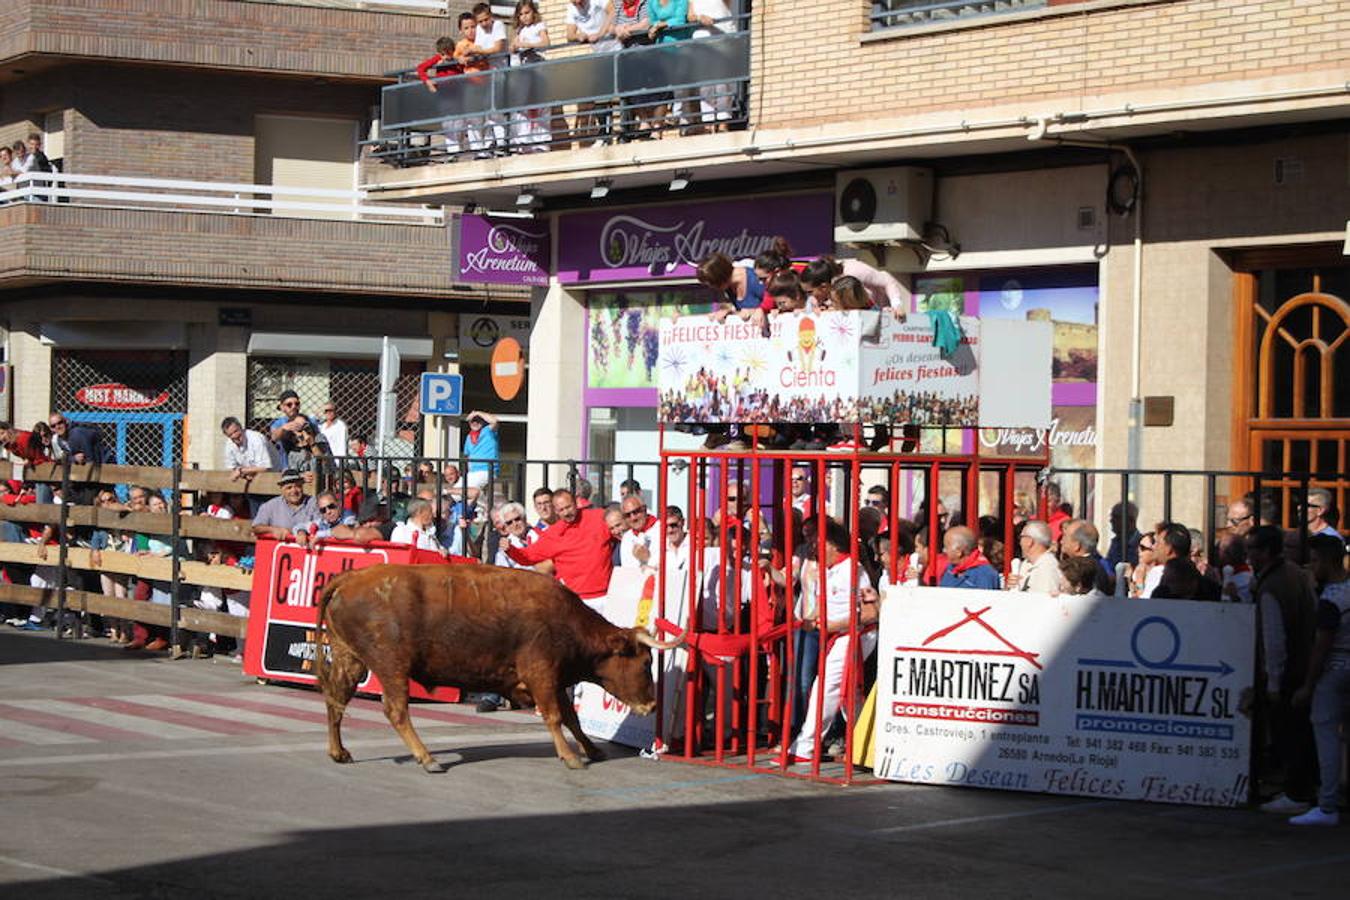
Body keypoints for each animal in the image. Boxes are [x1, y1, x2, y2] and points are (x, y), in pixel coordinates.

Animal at [311, 566, 680, 771]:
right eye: (645, 662)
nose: (652, 705)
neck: (566, 620)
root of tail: (353, 577)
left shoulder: (554, 679)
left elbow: (571, 718)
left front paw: (591, 749)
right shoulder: (541, 672)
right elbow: (554, 716)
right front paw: (570, 756)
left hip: (349, 658)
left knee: (335, 700)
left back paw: (338, 751)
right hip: (392, 665)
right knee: (396, 710)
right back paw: (427, 758)